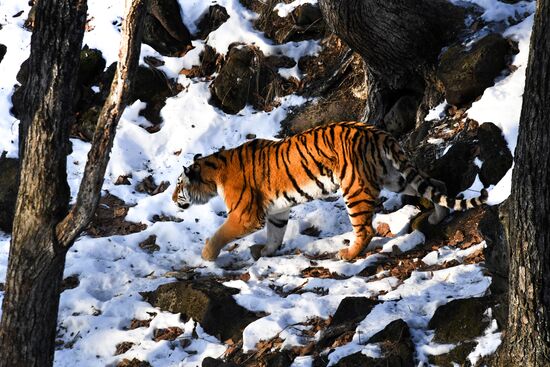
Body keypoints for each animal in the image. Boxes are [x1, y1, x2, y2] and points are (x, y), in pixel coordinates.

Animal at [171, 122, 488, 264]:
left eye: (177, 185)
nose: (173, 199)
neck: (213, 172)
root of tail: (377, 132)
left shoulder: (245, 215)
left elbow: (220, 233)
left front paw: (206, 255)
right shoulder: (277, 211)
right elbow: (275, 234)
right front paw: (267, 252)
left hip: (355, 188)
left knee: (366, 229)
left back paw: (348, 254)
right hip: (395, 177)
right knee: (438, 185)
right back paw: (436, 218)